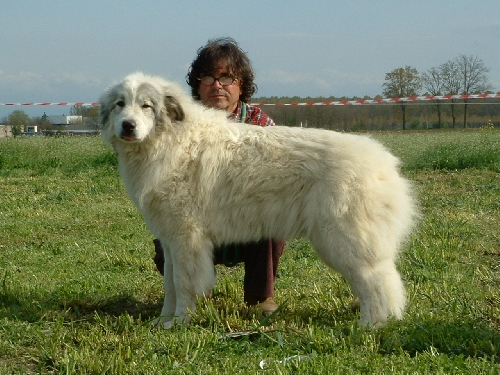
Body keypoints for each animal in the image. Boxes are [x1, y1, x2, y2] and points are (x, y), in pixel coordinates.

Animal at [99, 71, 416, 328]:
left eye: (146, 106)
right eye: (120, 104)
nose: (127, 126)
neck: (170, 141)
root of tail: (385, 163)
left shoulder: (186, 240)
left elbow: (183, 284)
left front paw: (179, 322)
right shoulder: (170, 241)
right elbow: (170, 285)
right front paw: (164, 321)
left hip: (342, 240)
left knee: (376, 281)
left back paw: (371, 325)